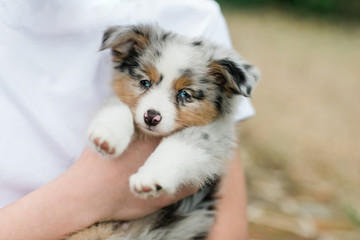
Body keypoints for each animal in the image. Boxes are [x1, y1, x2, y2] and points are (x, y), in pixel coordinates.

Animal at [65, 23, 258, 239]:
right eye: (145, 82)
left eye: (185, 94)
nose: (151, 117)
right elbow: (120, 107)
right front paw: (107, 137)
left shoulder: (213, 137)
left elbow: (174, 148)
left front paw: (150, 178)